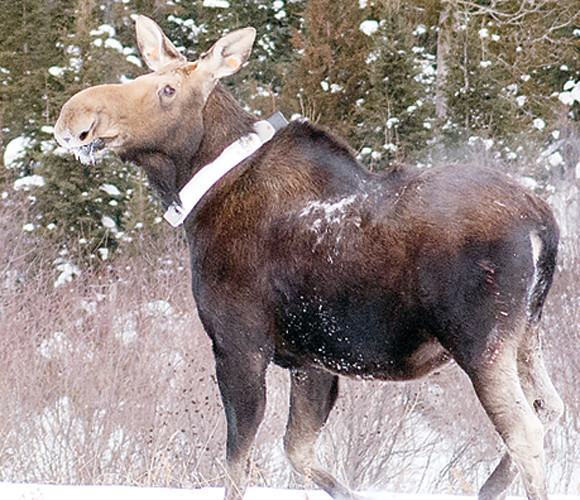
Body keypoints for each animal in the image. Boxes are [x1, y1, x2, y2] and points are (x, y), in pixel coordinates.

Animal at [54, 15, 560, 500]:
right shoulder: (311, 362)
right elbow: (297, 450)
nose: (74, 118)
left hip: (480, 341)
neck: (201, 201)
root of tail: (544, 223)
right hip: (526, 333)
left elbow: (237, 465)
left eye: (167, 89)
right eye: (145, 75)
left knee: (526, 429)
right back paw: (489, 487)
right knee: (550, 406)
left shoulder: (239, 343)